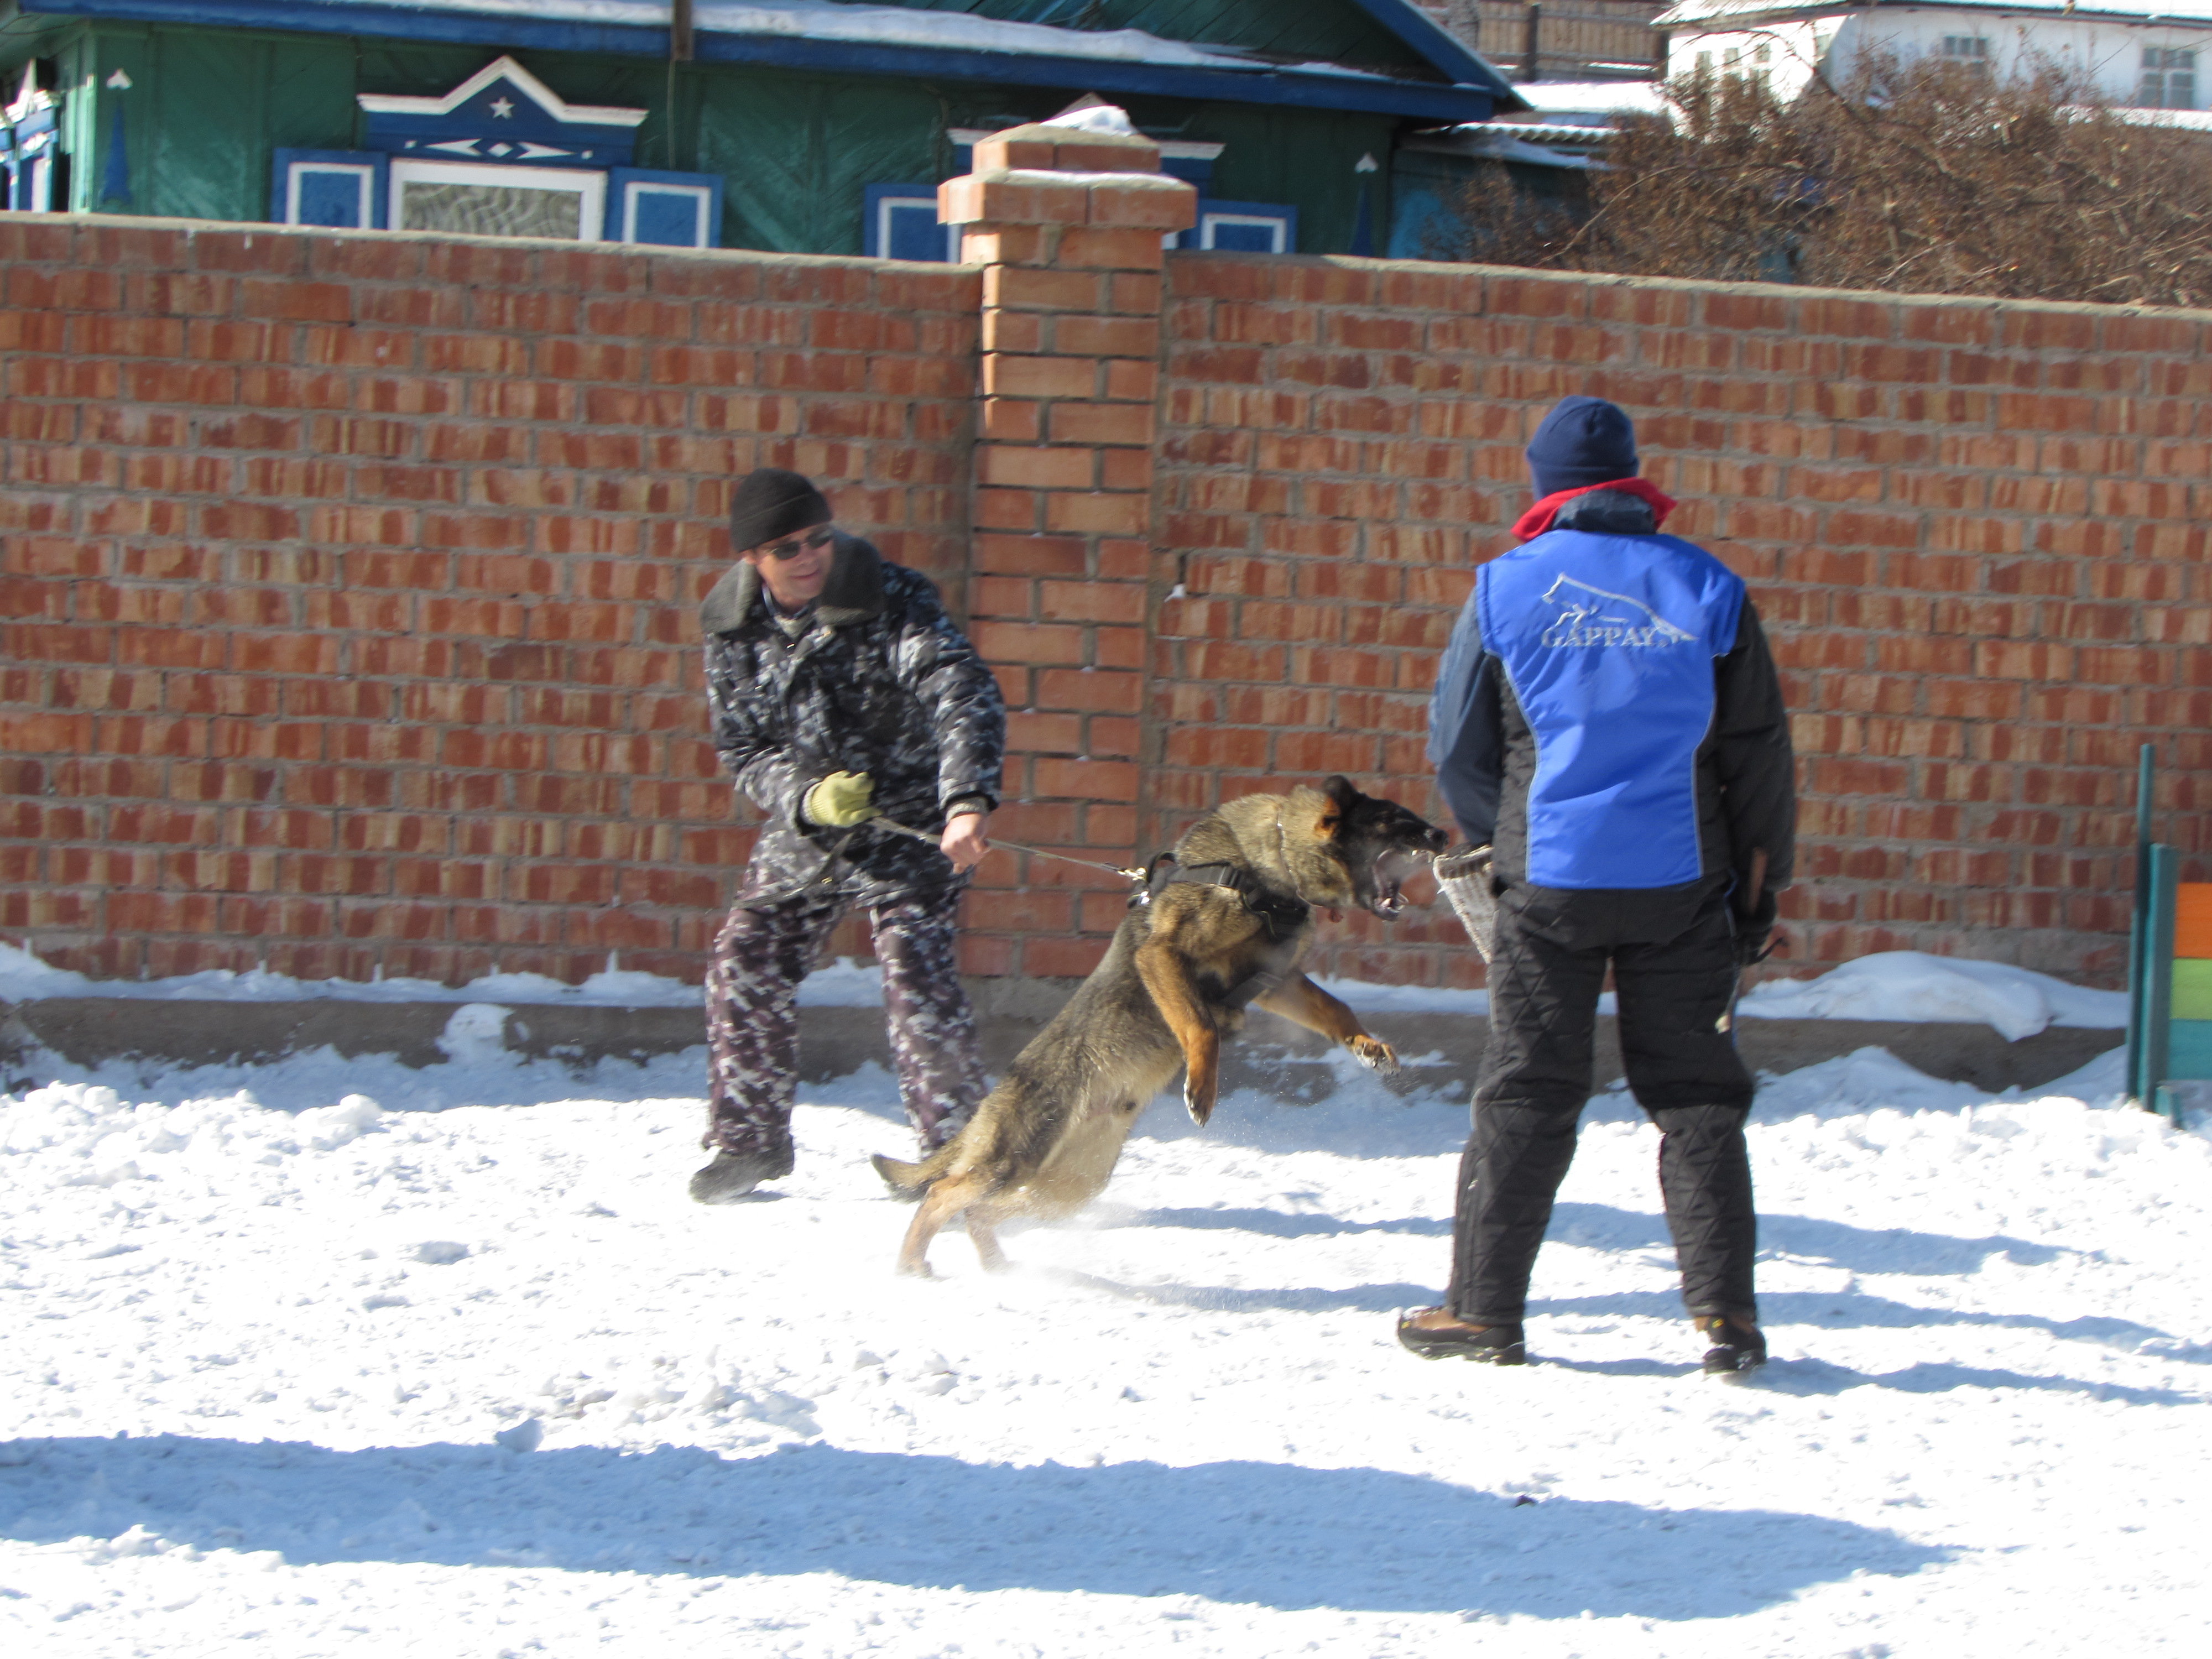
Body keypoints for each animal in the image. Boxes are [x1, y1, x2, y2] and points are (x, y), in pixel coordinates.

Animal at [872, 787, 1442, 1283]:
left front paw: (1368, 1046)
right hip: (1017, 1156)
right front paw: (1201, 1090)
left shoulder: (1280, 982)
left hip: (1071, 1187)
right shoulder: (1165, 955)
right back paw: (911, 1266)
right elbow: (1202, 1027)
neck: (1269, 868)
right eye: (1392, 819)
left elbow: (1336, 1007)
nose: (1442, 834)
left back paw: (996, 1267)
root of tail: (990, 1102)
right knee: (943, 1194)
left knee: (978, 1211)